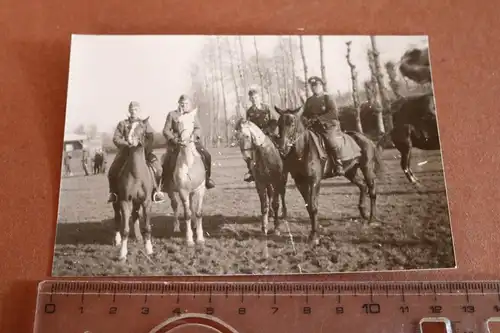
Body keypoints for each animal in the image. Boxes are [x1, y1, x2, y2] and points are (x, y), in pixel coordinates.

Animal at [113, 118, 156, 260]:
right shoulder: (124, 201)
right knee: (117, 218)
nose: (130, 140)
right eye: (128, 127)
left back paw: (138, 236)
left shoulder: (146, 202)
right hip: (116, 202)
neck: (136, 173)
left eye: (142, 128)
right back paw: (117, 240)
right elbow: (125, 229)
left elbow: (147, 227)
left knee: (136, 216)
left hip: (137, 202)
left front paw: (149, 249)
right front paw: (122, 253)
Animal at [162, 107, 205, 245]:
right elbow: (186, 214)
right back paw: (176, 227)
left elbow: (198, 212)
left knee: (191, 207)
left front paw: (200, 238)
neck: (189, 162)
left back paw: (195, 224)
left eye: (192, 122)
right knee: (175, 206)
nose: (185, 140)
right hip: (172, 191)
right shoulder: (182, 191)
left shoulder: (201, 189)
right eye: (178, 122)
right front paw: (189, 240)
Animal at [274, 105, 386, 245]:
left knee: (372, 191)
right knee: (362, 186)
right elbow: (309, 206)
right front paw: (315, 231)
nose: (281, 147)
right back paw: (363, 213)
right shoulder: (300, 182)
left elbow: (313, 206)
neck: (304, 150)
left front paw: (314, 236)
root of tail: (366, 139)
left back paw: (372, 219)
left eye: (292, 123)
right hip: (350, 172)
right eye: (279, 124)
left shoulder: (315, 180)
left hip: (367, 169)